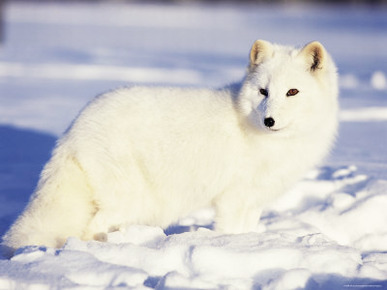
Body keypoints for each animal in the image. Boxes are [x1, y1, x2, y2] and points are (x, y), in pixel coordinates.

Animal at [1, 40, 338, 254]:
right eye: (263, 91)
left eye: (292, 92)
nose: (269, 120)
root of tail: (74, 128)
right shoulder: (233, 199)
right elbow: (230, 231)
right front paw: (235, 248)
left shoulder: (254, 200)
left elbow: (247, 229)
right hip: (131, 199)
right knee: (90, 229)